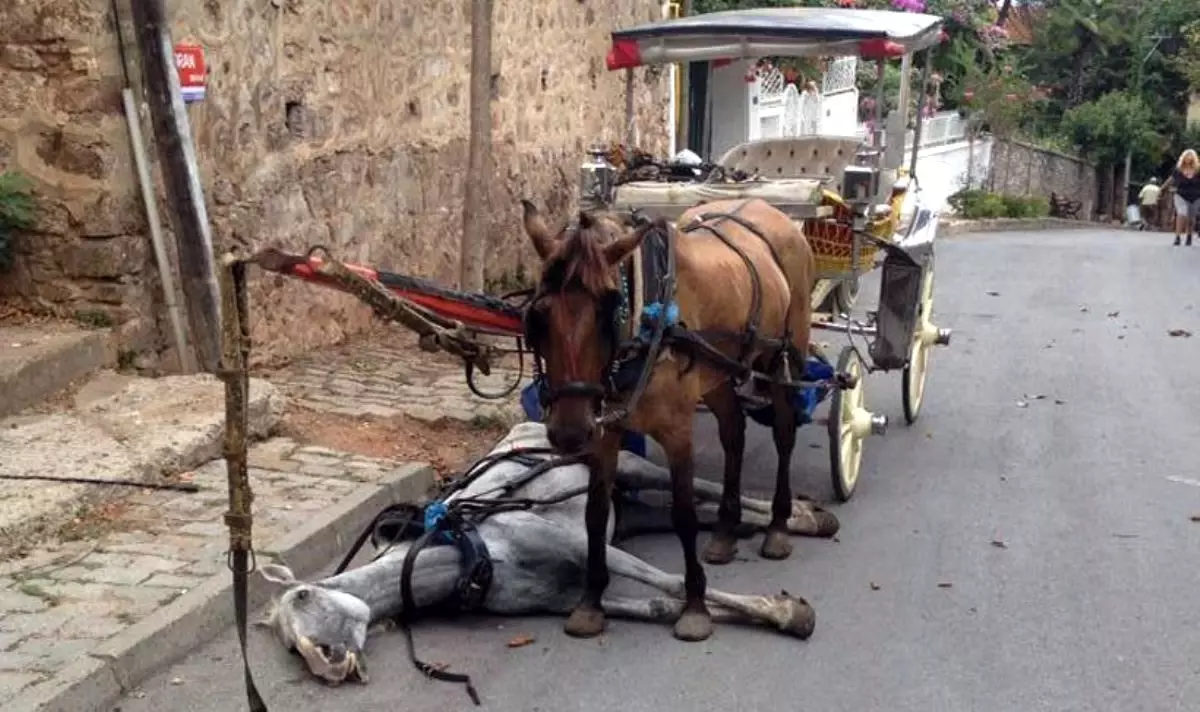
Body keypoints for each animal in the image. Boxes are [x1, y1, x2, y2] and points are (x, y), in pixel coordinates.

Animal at [258, 420, 840, 686]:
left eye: (304, 596)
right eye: (288, 647)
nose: (327, 665)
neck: (470, 554)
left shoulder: (581, 545)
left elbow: (674, 583)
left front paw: (787, 613)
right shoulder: (563, 598)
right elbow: (658, 604)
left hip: (631, 467)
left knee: (699, 487)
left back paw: (798, 517)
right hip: (626, 513)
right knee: (689, 513)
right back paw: (777, 523)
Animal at [520, 196, 840, 643]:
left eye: (608, 309)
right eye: (538, 317)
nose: (568, 433)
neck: (647, 323)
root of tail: (767, 207)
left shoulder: (678, 432)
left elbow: (684, 514)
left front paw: (695, 606)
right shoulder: (604, 433)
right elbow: (595, 513)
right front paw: (590, 603)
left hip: (782, 360)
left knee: (784, 434)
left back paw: (778, 527)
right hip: (718, 376)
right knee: (734, 433)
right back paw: (724, 532)